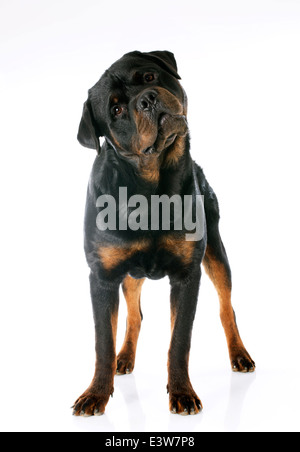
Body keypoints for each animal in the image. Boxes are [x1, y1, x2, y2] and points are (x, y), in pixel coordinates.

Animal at [72, 50, 255, 416]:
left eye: (148, 77)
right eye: (116, 109)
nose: (147, 99)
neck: (150, 189)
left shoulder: (187, 274)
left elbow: (179, 340)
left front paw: (182, 391)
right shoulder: (102, 276)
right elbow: (103, 340)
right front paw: (96, 394)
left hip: (216, 251)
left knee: (226, 306)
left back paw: (239, 354)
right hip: (130, 274)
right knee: (134, 314)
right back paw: (124, 358)